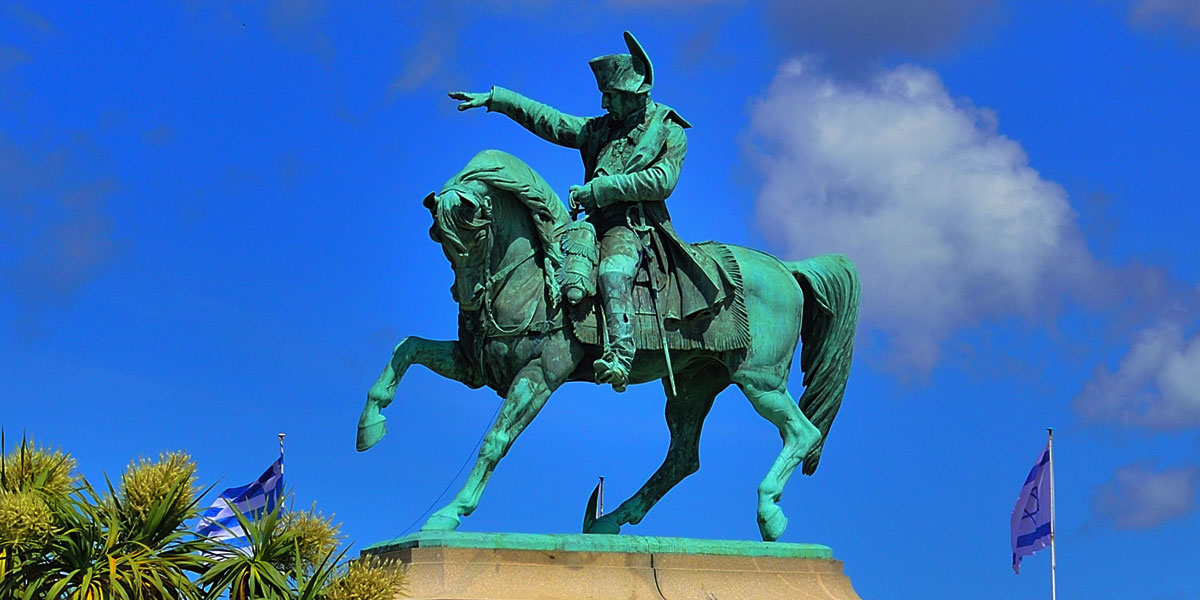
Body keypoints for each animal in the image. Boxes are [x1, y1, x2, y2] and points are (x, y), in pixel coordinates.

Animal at [355, 151, 864, 544]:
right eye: (437, 238)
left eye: (473, 231)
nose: (469, 303)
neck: (536, 276)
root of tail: (786, 267)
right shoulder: (474, 366)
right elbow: (405, 349)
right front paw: (371, 424)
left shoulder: (540, 374)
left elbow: (495, 440)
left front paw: (449, 514)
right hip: (692, 387)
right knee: (682, 458)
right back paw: (610, 520)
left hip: (759, 381)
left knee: (802, 433)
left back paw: (769, 513)